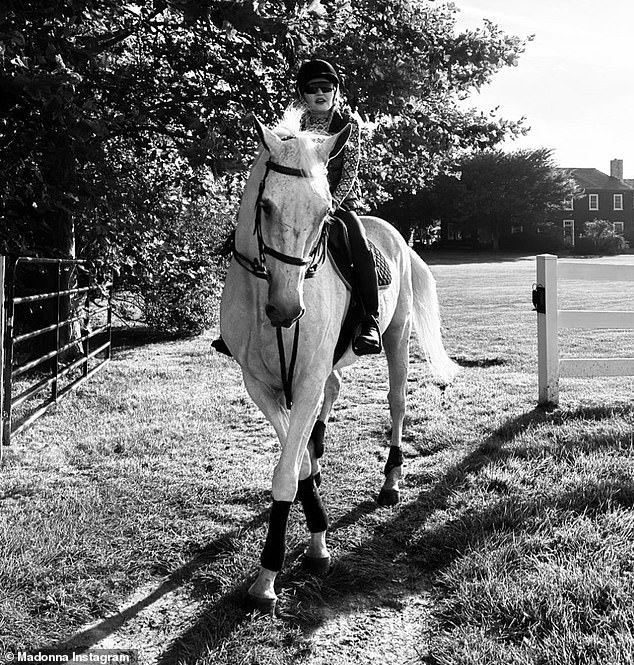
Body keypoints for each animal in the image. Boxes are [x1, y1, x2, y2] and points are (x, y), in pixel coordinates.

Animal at [220, 113, 456, 612]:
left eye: (324, 212)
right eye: (265, 205)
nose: (287, 309)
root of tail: (396, 237)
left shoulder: (305, 380)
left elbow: (287, 474)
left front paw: (271, 574)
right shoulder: (260, 385)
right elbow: (300, 463)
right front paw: (316, 530)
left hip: (397, 337)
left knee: (397, 402)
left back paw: (391, 482)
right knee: (333, 399)